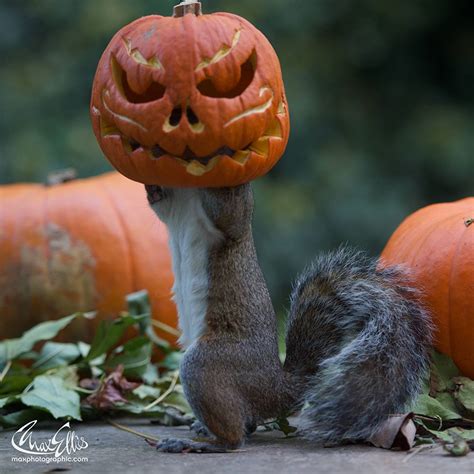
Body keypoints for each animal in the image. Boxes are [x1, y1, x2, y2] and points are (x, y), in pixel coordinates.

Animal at [144, 183, 434, 454]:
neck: (186, 200)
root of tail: (275, 388)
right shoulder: (172, 209)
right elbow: (159, 206)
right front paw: (152, 188)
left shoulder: (232, 226)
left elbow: (231, 214)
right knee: (245, 423)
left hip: (206, 364)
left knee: (235, 438)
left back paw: (199, 442)